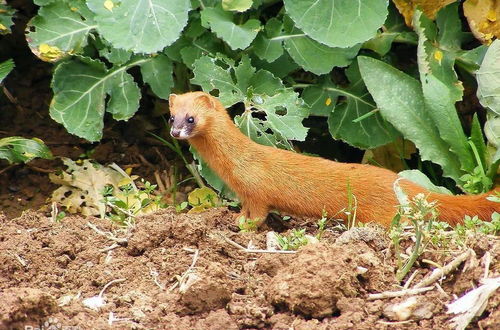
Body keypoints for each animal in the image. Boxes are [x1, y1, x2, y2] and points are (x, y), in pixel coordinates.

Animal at [169, 91, 500, 228]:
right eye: (172, 116)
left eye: (191, 118)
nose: (174, 131)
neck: (235, 165)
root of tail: (404, 183)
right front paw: (237, 218)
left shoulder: (256, 190)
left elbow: (259, 213)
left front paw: (244, 225)